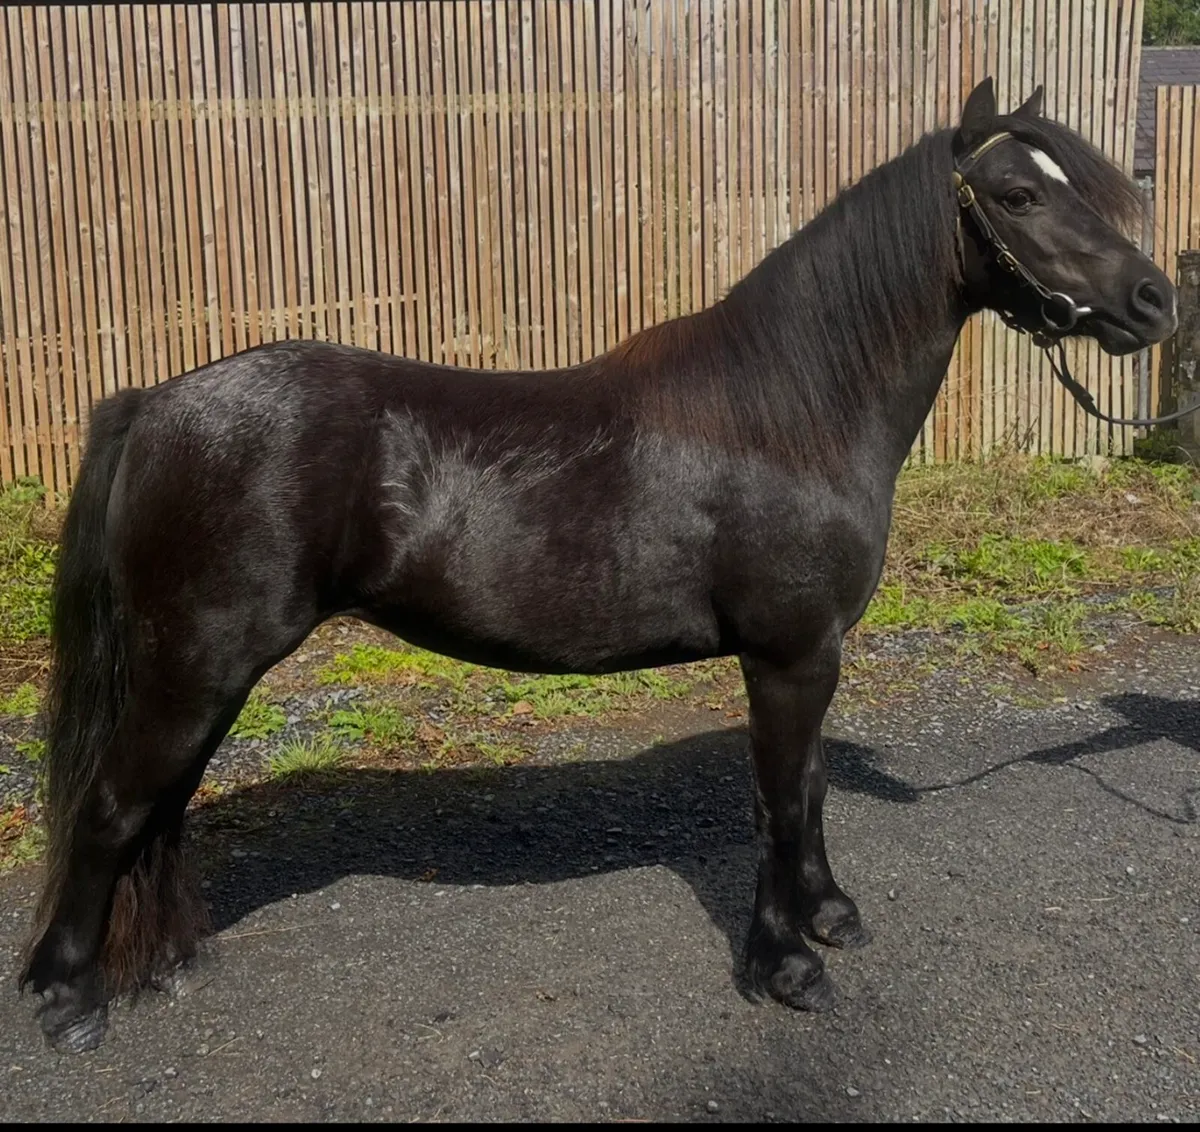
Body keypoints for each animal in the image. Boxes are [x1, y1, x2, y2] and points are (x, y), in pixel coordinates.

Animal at [19, 77, 1176, 1052]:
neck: (790, 415)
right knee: (115, 807)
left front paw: (829, 917)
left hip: (204, 671)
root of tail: (157, 402)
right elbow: (776, 802)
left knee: (160, 808)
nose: (1157, 301)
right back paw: (69, 998)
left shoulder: (813, 656)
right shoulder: (788, 657)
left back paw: (159, 962)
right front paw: (788, 966)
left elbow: (807, 791)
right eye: (1017, 192)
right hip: (196, 663)